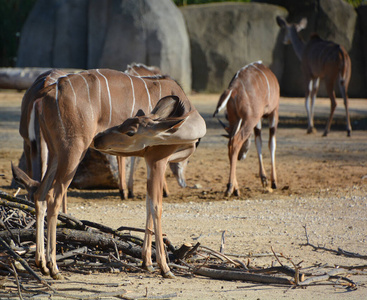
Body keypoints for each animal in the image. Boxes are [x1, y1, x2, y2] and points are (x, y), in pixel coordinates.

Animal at [10, 69, 207, 280]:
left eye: (130, 129)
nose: (99, 139)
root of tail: (47, 90)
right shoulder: (157, 160)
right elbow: (156, 207)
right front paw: (165, 268)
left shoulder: (148, 161)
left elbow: (147, 204)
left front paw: (147, 263)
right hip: (73, 151)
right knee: (53, 198)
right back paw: (54, 268)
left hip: (55, 153)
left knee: (39, 194)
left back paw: (42, 265)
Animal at [213, 61, 278, 197]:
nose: (240, 157)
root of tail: (233, 89)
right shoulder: (273, 112)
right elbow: (271, 144)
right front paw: (273, 182)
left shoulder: (257, 119)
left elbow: (258, 142)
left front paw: (264, 179)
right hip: (250, 119)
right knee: (235, 142)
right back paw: (229, 187)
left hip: (238, 119)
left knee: (230, 144)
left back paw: (235, 189)